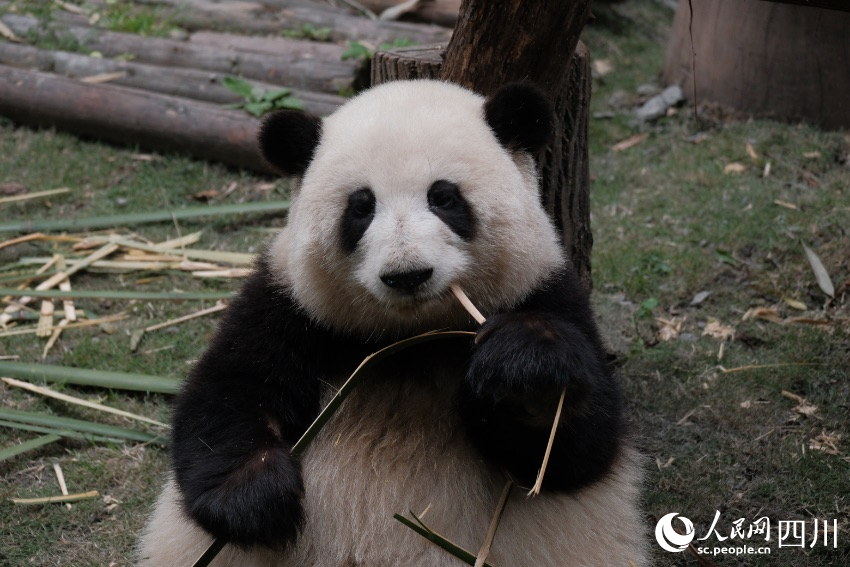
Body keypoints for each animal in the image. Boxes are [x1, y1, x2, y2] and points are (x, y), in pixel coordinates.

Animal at [137, 80, 644, 567]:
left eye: (444, 197)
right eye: (361, 207)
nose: (407, 274)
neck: (411, 339)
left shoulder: (546, 290)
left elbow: (574, 452)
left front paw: (524, 373)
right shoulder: (290, 308)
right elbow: (229, 394)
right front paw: (259, 496)